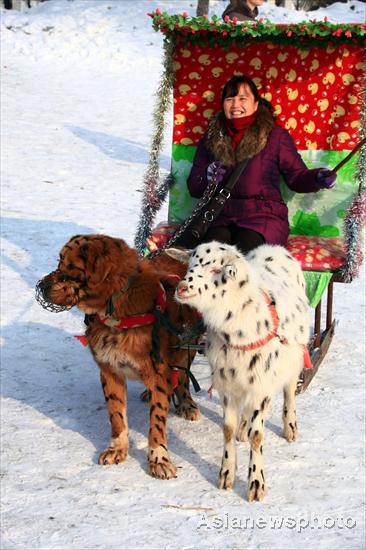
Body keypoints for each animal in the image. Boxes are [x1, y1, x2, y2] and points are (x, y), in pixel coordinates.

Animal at [36, 235, 200, 480]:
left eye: (69, 268)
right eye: (59, 263)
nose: (41, 286)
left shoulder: (158, 374)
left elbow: (157, 421)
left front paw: (158, 458)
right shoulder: (109, 371)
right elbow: (116, 416)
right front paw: (117, 449)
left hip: (188, 347)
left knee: (182, 377)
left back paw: (186, 403)